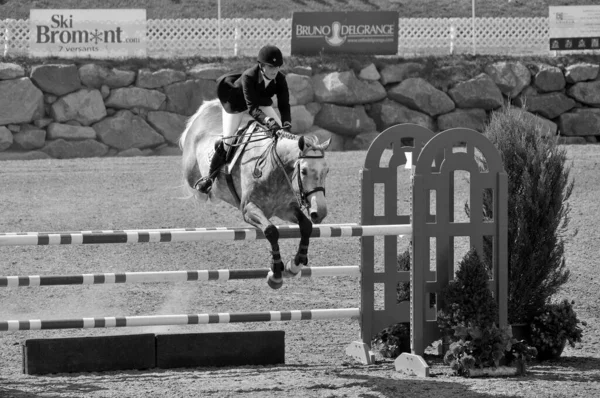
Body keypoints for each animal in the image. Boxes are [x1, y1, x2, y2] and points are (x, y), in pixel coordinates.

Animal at [178, 98, 332, 288]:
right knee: (204, 177)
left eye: (326, 171)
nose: (320, 212)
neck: (273, 168)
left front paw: (294, 265)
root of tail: (206, 110)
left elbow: (306, 226)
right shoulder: (248, 209)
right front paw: (276, 273)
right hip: (192, 172)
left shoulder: (285, 209)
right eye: (303, 171)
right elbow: (271, 231)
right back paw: (205, 187)